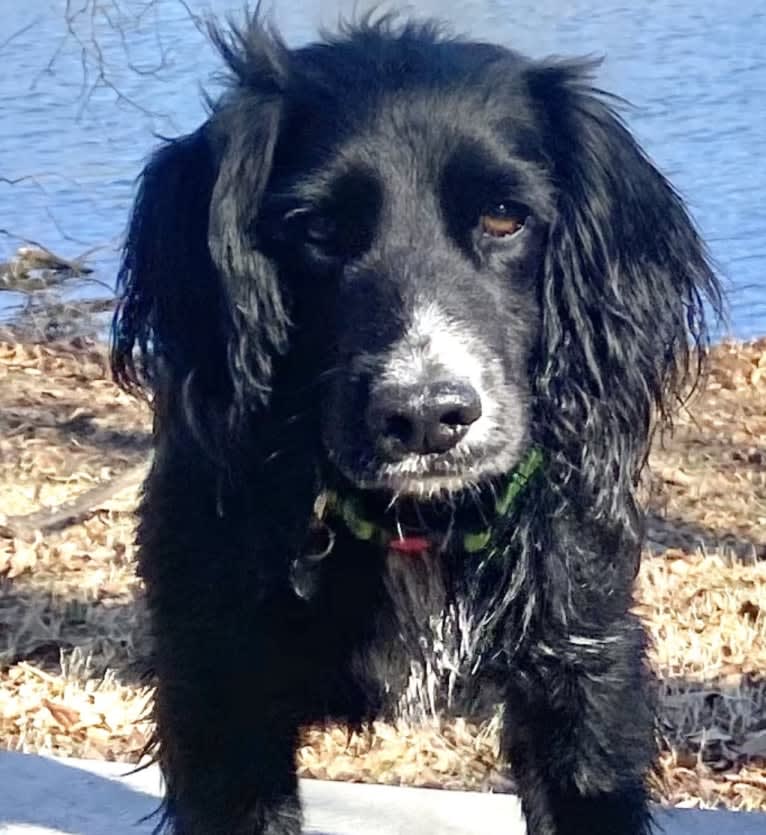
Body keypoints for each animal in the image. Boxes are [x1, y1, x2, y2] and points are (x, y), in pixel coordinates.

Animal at [111, 14, 724, 835]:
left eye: (505, 216)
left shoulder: (584, 665)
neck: (415, 523)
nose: (429, 418)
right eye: (317, 227)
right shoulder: (217, 684)